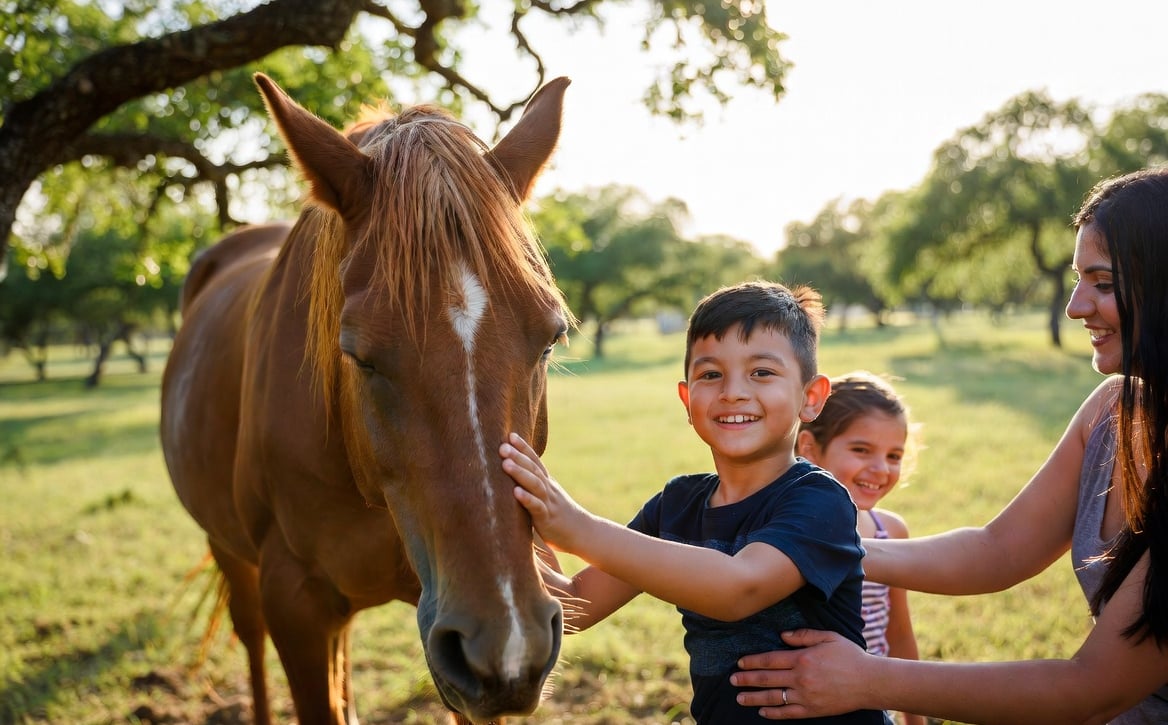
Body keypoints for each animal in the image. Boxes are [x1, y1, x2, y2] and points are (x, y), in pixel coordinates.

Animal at [159, 73, 572, 725]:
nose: (509, 646)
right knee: (250, 639)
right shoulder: (295, 608)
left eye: (551, 337)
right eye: (358, 354)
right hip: (229, 551)